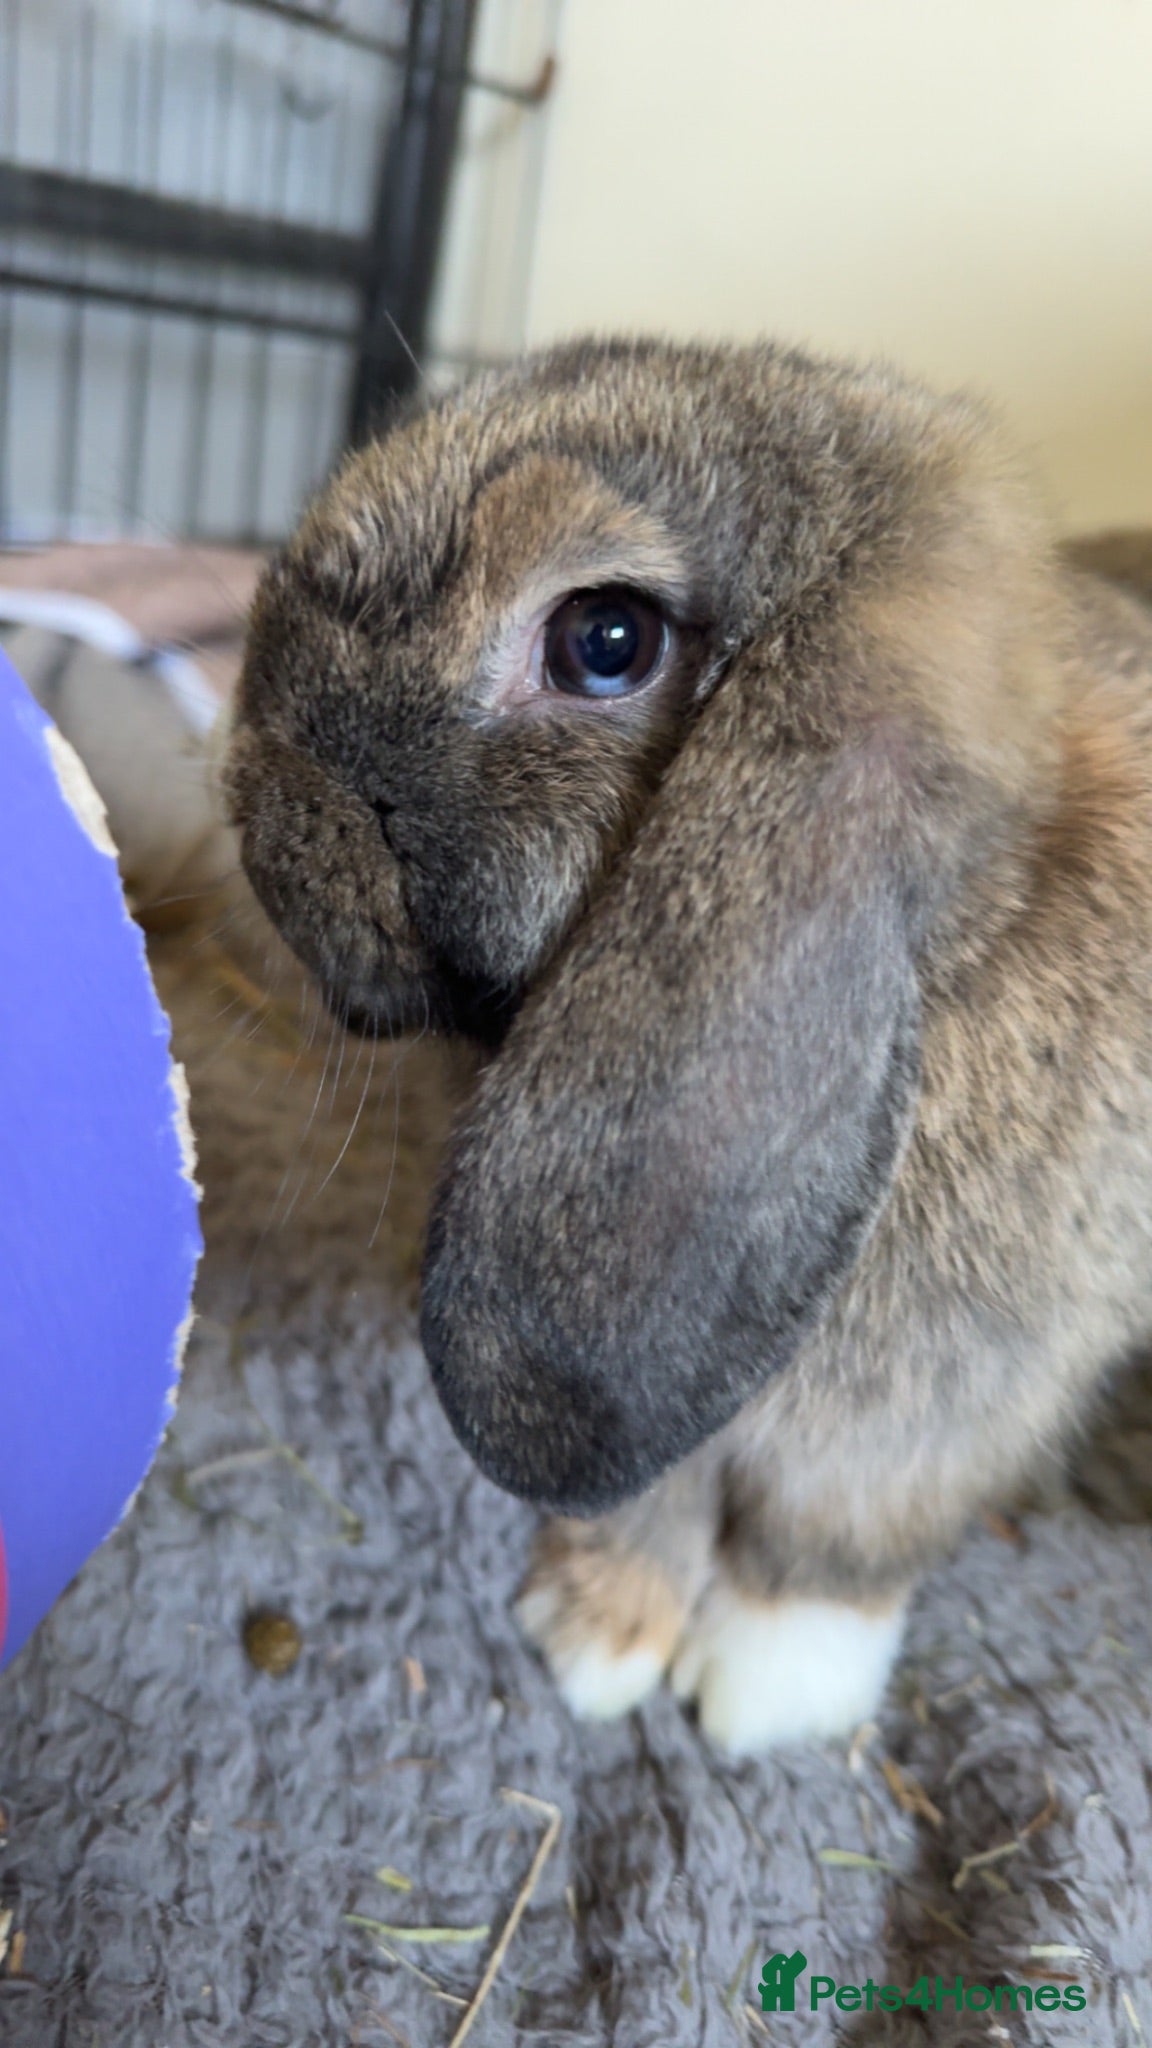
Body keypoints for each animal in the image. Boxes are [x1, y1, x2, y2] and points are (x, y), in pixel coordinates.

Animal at [224, 336, 1152, 1753]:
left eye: (606, 642)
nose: (255, 784)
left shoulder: (950, 1401)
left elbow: (838, 1532)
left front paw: (768, 1688)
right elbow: (655, 1484)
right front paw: (595, 1631)